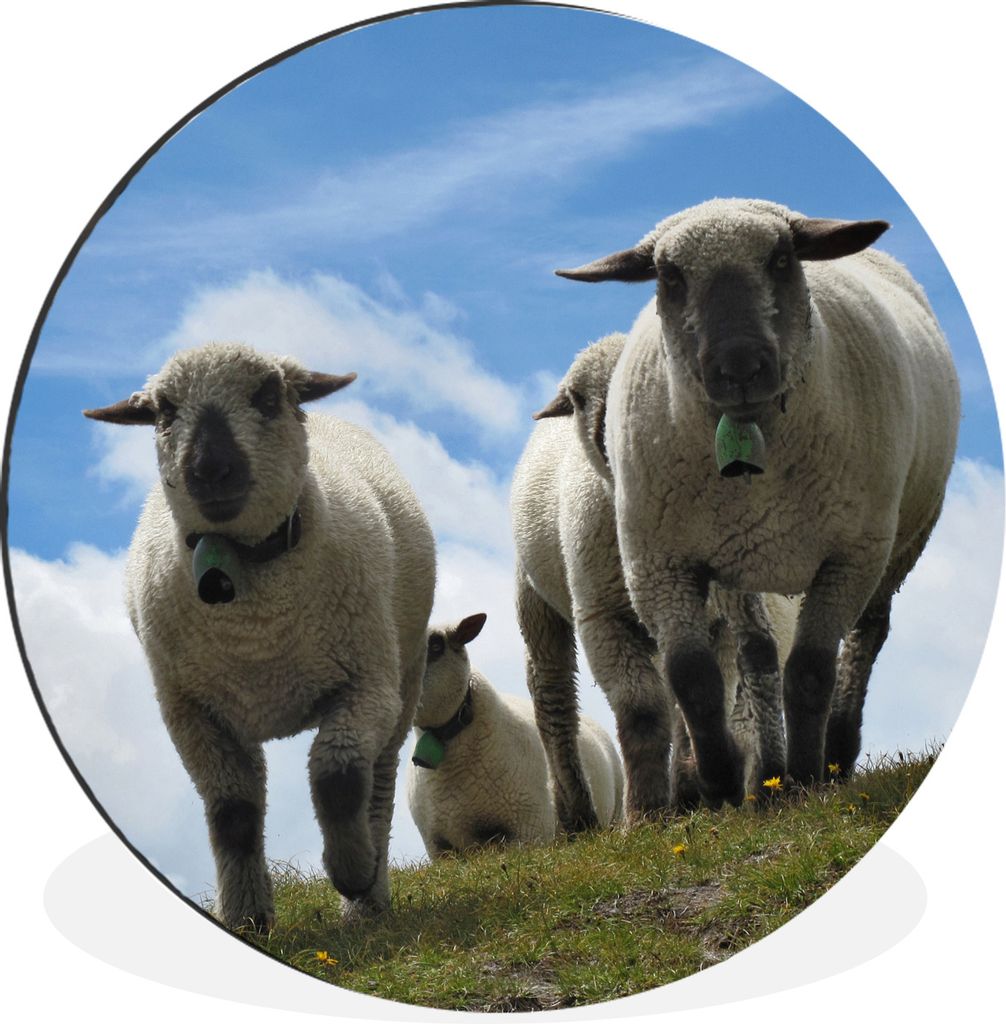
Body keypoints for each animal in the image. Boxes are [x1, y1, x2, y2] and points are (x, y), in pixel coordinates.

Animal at [83, 341, 436, 929]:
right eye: (163, 412)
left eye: (268, 396)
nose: (209, 469)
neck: (257, 631)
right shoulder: (192, 713)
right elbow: (234, 812)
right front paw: (246, 918)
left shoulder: (366, 684)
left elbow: (338, 776)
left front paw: (350, 870)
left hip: (403, 679)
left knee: (378, 784)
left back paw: (367, 899)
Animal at [511, 332, 798, 827]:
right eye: (579, 398)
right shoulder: (601, 617)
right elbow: (642, 710)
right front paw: (645, 812)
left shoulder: (717, 622)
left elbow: (700, 696)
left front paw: (696, 789)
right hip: (537, 601)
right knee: (553, 698)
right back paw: (577, 817)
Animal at [555, 197, 959, 803]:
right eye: (669, 277)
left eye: (781, 259)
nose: (740, 367)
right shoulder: (659, 563)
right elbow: (693, 678)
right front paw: (719, 782)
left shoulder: (849, 557)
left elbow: (812, 671)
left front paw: (805, 778)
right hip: (737, 559)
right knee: (754, 652)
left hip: (900, 544)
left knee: (865, 640)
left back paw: (835, 754)